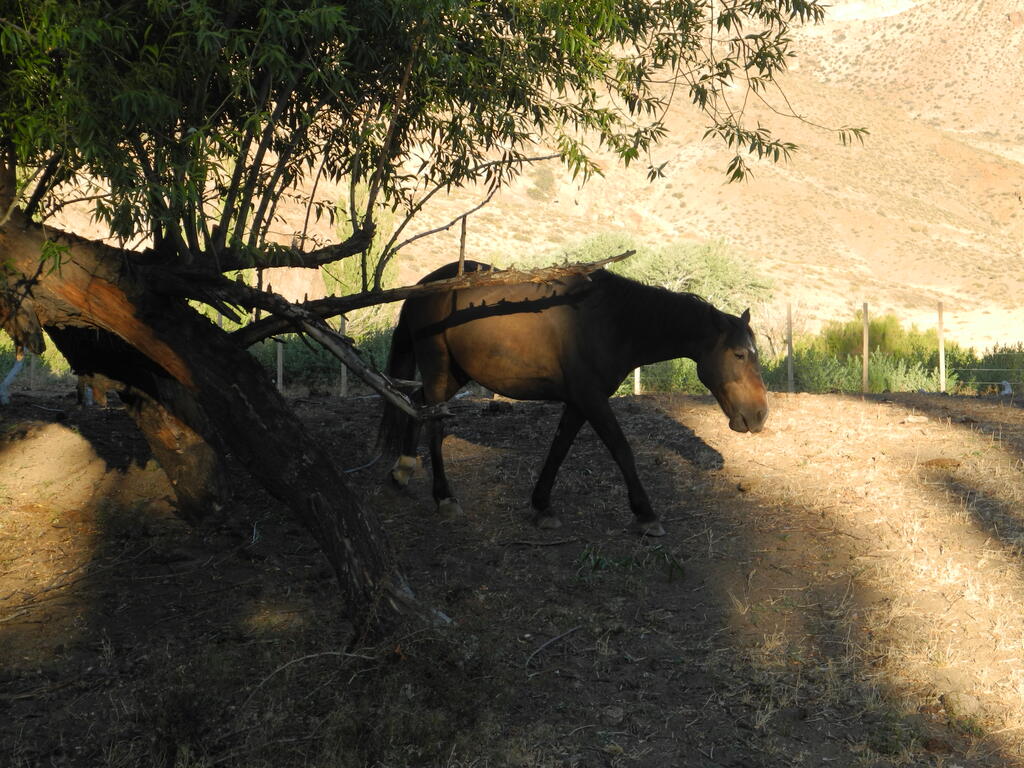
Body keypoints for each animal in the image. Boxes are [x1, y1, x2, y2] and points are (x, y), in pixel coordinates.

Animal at [379, 260, 768, 536]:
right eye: (739, 355)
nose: (759, 415)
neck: (612, 321)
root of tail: (425, 286)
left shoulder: (580, 402)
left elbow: (559, 447)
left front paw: (542, 506)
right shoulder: (591, 399)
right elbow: (621, 449)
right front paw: (645, 514)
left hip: (457, 371)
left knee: (419, 407)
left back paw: (403, 468)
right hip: (438, 365)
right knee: (435, 422)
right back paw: (444, 497)